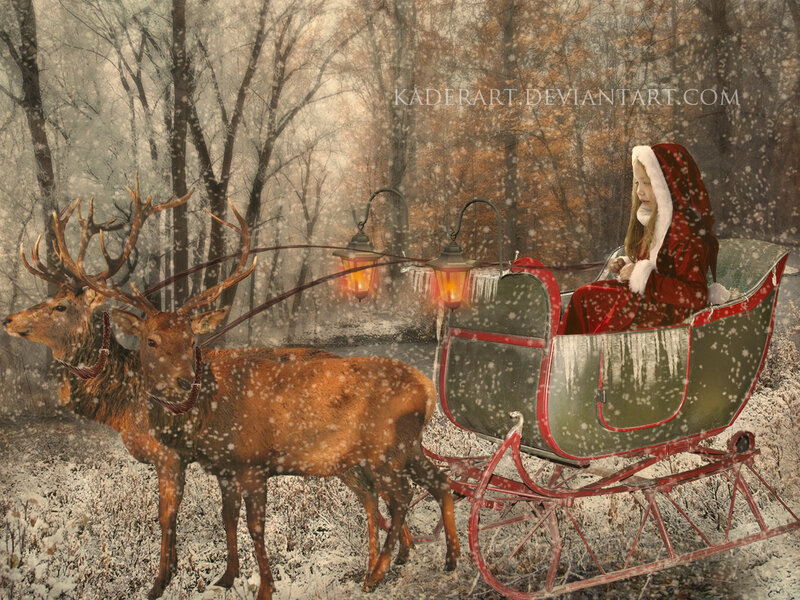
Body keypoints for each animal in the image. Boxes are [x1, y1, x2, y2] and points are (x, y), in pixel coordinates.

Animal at [57, 201, 460, 600]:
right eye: (151, 340)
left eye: (190, 339)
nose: (185, 379)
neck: (208, 417)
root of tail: (426, 389)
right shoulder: (227, 468)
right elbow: (228, 518)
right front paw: (226, 578)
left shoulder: (253, 462)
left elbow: (255, 527)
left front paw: (265, 587)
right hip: (407, 446)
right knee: (438, 481)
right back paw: (450, 558)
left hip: (384, 449)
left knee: (403, 497)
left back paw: (376, 575)